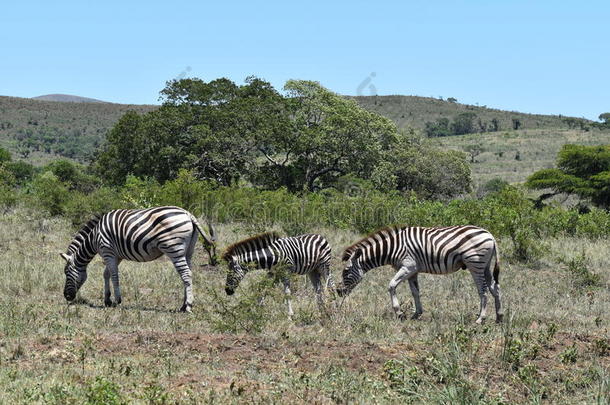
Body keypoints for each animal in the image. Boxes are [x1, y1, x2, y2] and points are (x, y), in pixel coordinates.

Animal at [60, 207, 216, 310]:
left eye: (66, 273)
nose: (66, 297)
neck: (94, 237)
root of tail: (188, 214)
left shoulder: (107, 251)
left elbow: (114, 275)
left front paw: (117, 301)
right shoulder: (115, 255)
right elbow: (106, 274)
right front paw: (107, 299)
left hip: (174, 248)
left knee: (186, 274)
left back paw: (188, 306)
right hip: (188, 251)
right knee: (188, 273)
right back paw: (183, 304)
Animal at [334, 224, 502, 322]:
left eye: (346, 271)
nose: (339, 292)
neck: (393, 248)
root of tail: (490, 234)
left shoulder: (407, 267)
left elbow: (391, 285)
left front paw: (399, 313)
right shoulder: (412, 271)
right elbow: (415, 292)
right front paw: (417, 314)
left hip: (475, 264)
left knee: (483, 290)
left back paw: (481, 319)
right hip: (485, 266)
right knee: (495, 288)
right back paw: (499, 316)